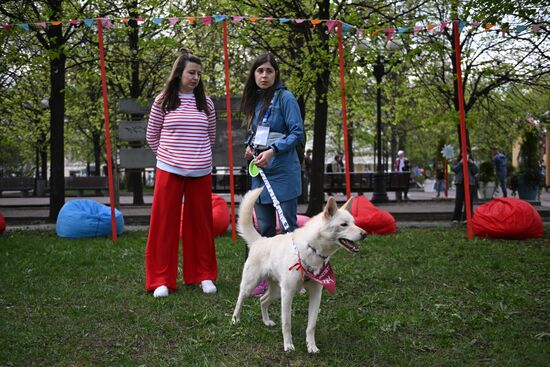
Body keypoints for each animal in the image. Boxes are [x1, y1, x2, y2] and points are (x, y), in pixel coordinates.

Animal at [232, 190, 366, 354]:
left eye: (354, 222)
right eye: (343, 224)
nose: (365, 233)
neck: (311, 250)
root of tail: (260, 240)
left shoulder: (316, 293)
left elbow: (311, 325)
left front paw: (311, 346)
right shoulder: (288, 293)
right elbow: (287, 323)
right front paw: (288, 345)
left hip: (276, 291)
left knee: (263, 300)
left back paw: (266, 321)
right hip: (252, 285)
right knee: (240, 299)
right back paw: (235, 319)